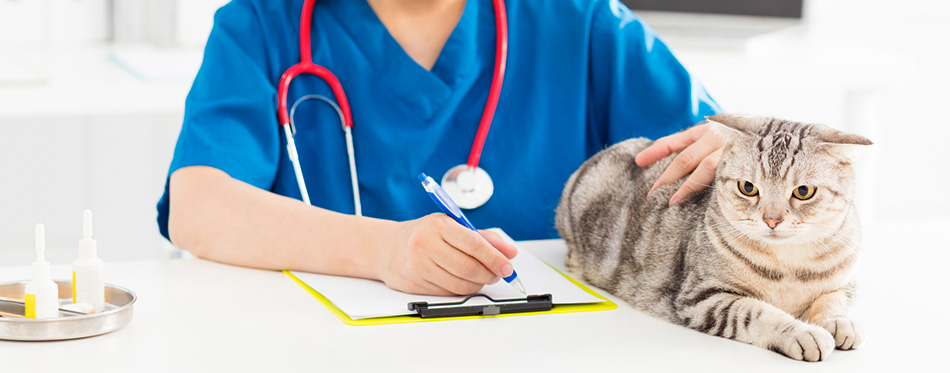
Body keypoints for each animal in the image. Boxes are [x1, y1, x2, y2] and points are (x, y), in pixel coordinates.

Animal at [556, 114, 872, 360]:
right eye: (748, 187)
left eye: (803, 191)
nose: (771, 220)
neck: (788, 268)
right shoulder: (703, 297)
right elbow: (757, 312)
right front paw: (803, 332)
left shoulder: (847, 280)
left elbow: (834, 299)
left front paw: (839, 323)